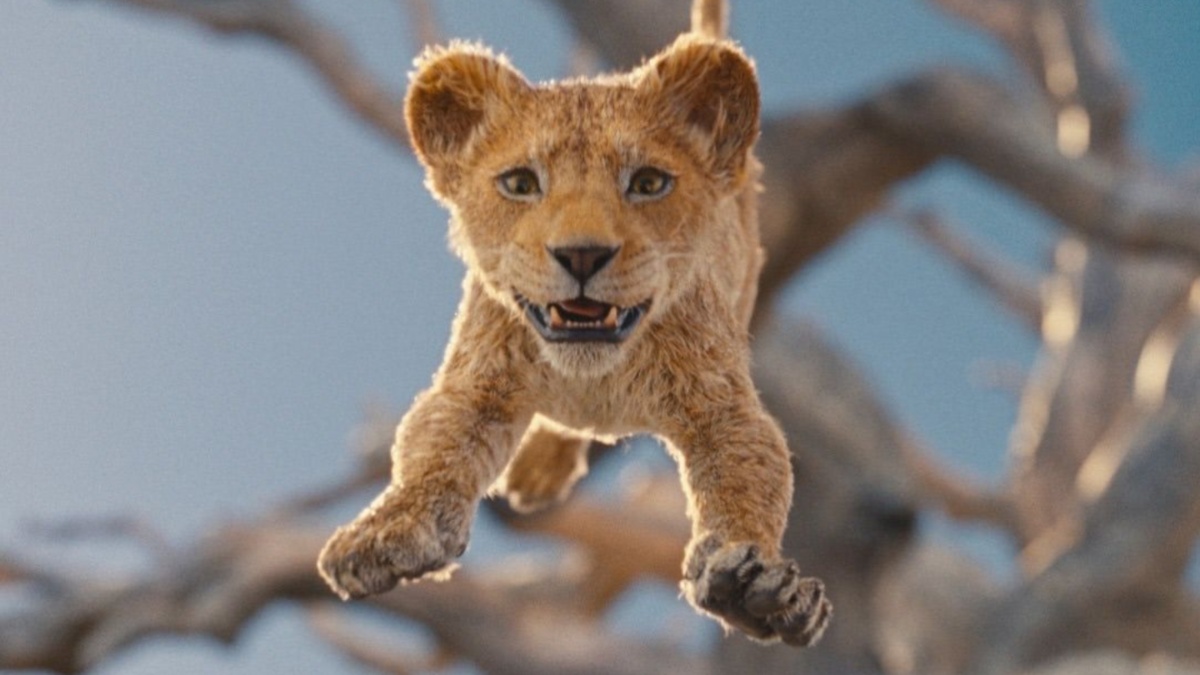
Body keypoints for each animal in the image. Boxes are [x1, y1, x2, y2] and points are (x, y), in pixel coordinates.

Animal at [316, 32, 831, 646]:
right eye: (520, 184)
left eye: (648, 183)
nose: (582, 255)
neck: (592, 374)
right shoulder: (476, 384)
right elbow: (432, 450)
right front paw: (385, 533)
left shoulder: (721, 406)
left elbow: (748, 476)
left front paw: (750, 584)